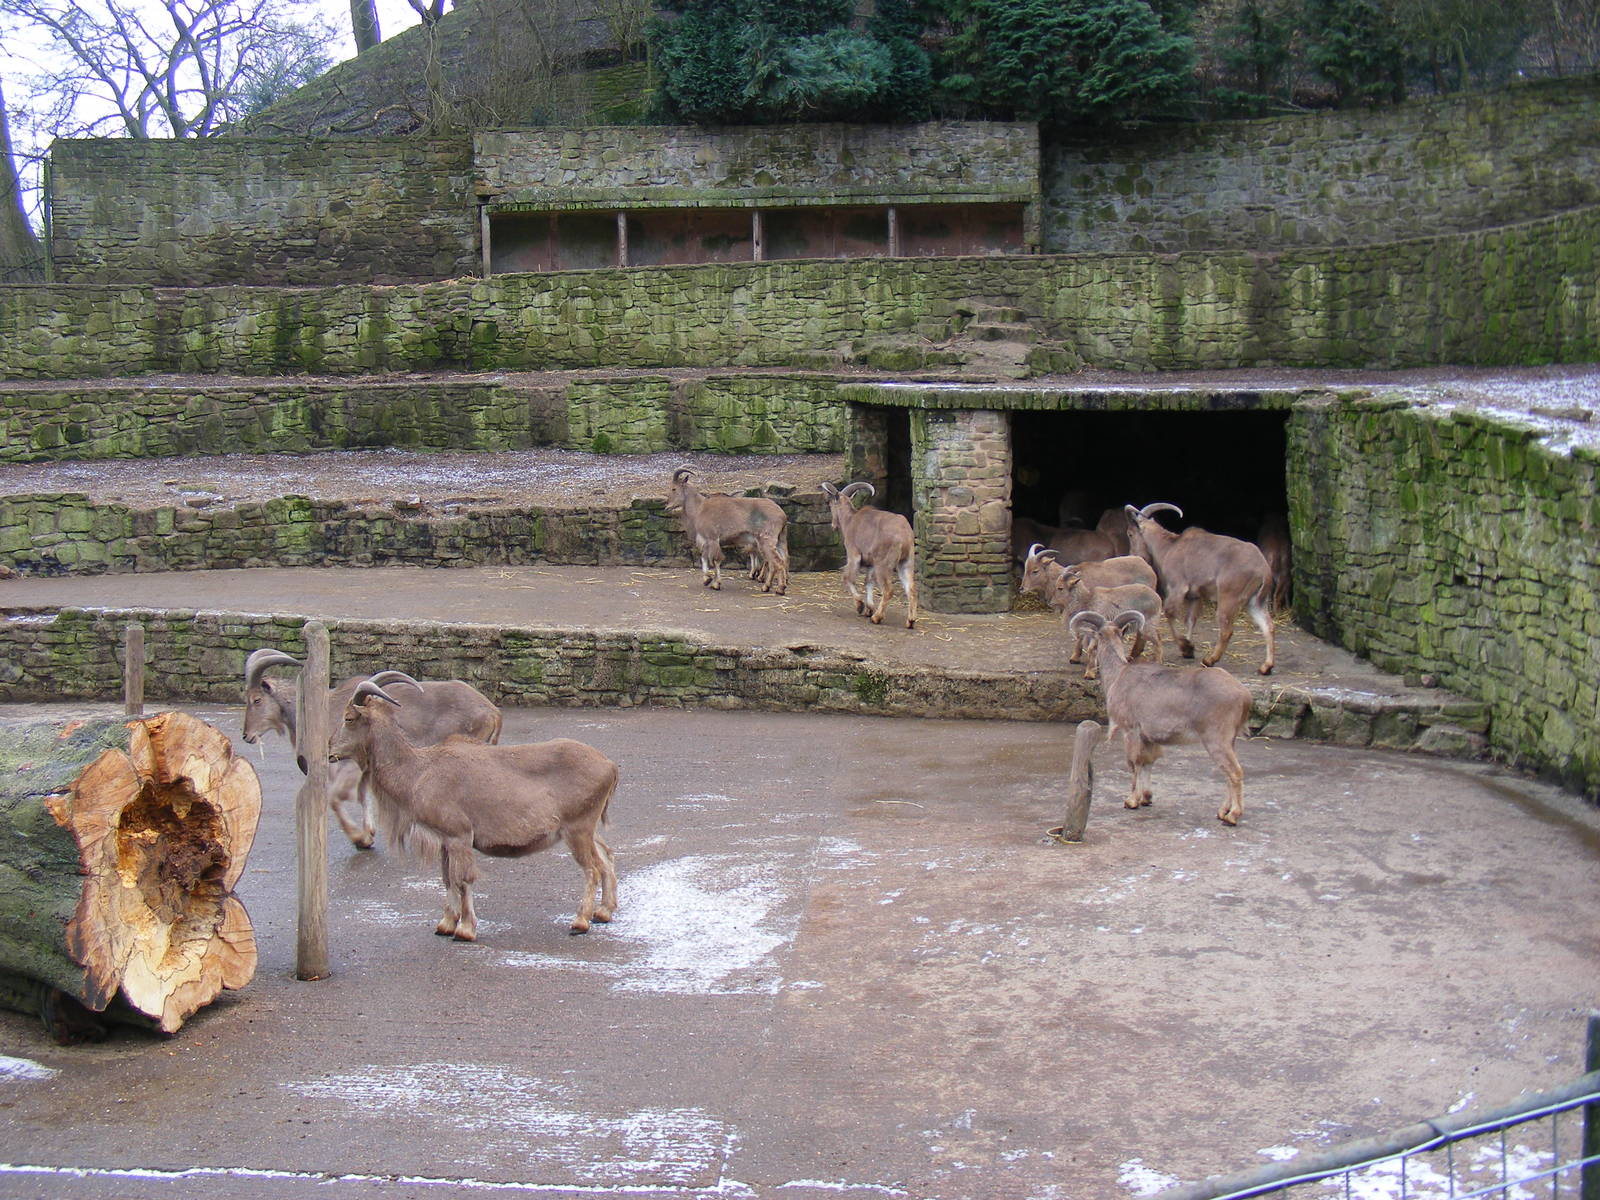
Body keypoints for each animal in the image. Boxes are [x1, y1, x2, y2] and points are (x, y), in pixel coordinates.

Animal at [242, 648, 502, 849]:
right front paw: (369, 834)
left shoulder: (348, 765)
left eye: (256, 699)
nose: (246, 736)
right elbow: (364, 796)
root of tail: (492, 712)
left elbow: (336, 798)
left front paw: (360, 838)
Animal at [328, 675, 619, 941]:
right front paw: (445, 924)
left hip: (577, 828)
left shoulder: (459, 836)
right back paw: (603, 912)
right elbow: (447, 878)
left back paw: (580, 921)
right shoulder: (445, 840)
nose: (330, 750)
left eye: (349, 718)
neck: (419, 771)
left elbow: (463, 879)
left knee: (592, 868)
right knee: (606, 855)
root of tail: (610, 766)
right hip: (588, 828)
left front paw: (465, 929)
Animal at [821, 481, 917, 628]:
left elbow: (848, 577)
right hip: (906, 562)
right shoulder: (871, 563)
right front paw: (869, 609)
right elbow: (868, 582)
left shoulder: (854, 555)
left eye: (829, 503)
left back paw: (877, 618)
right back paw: (910, 621)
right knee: (911, 589)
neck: (850, 519)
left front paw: (860, 606)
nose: (833, 526)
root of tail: (904, 535)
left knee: (888, 590)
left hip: (883, 564)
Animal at [1070, 610, 1254, 826]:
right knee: (1227, 773)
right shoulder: (1148, 737)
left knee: (1234, 772)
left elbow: (1134, 763)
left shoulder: (1130, 730)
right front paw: (1146, 798)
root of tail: (1244, 695)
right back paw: (1222, 811)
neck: (1118, 675)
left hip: (1217, 739)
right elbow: (1148, 762)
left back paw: (1233, 816)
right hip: (1229, 740)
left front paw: (1131, 801)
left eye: (1098, 635)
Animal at [1125, 501, 1276, 676]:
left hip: (1229, 597)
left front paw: (1186, 646)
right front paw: (1188, 649)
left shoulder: (1178, 588)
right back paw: (1266, 667)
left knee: (1226, 630)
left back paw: (1209, 660)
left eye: (1130, 534)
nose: (1134, 555)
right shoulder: (1194, 596)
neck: (1169, 547)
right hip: (1256, 601)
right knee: (1268, 626)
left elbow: (1170, 613)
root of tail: (1263, 569)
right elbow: (1190, 620)